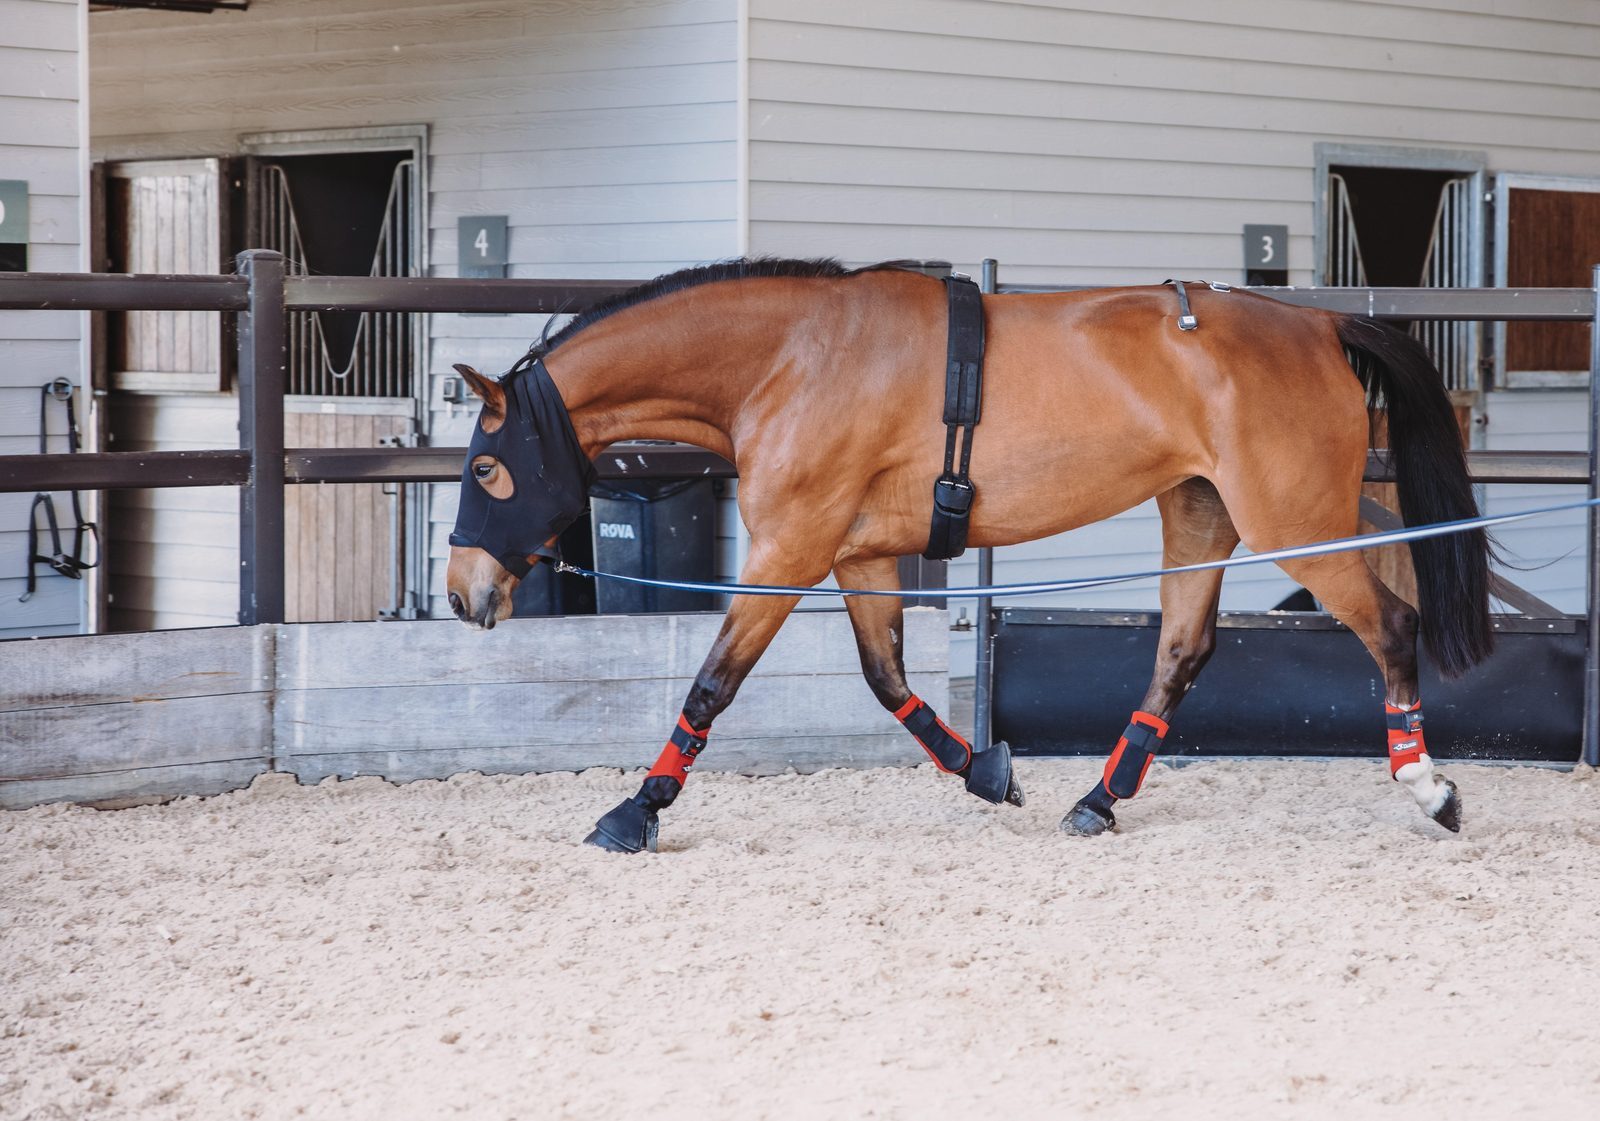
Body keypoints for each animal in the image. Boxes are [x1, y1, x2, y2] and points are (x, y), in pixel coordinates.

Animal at [448, 257, 1484, 850]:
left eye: (489, 468)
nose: (463, 594)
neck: (794, 356)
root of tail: (1318, 323)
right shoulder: (858, 556)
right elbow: (887, 681)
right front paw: (987, 770)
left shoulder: (789, 549)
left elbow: (712, 684)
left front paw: (637, 809)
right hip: (1200, 515)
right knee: (1182, 652)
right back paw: (1099, 800)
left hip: (1297, 522)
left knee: (1392, 625)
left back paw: (1430, 787)